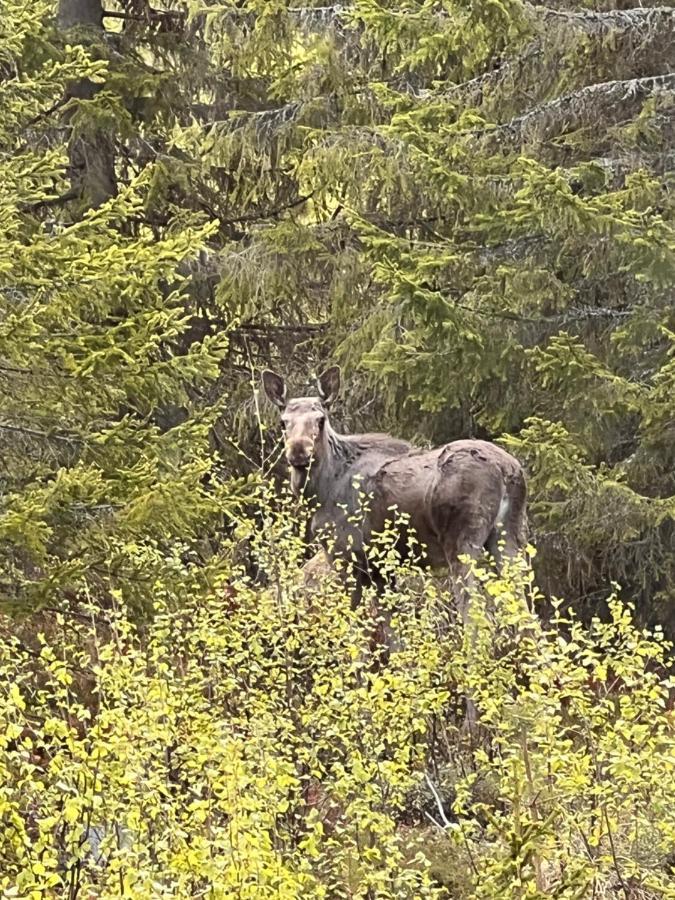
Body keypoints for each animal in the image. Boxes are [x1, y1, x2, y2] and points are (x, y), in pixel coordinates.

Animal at [262, 362, 532, 624]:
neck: (320, 491)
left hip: (462, 541)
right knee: (526, 618)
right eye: (283, 422)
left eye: (320, 420)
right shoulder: (380, 569)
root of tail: (508, 470)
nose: (298, 451)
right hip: (508, 537)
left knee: (478, 619)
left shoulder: (345, 556)